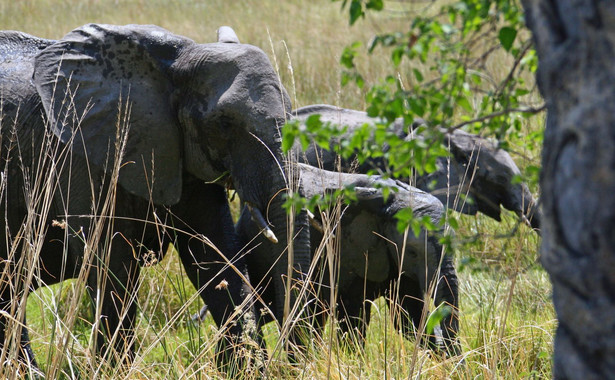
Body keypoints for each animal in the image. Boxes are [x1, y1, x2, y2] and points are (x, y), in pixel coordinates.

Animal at [0, 23, 310, 368]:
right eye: (225, 124)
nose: (295, 363)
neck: (174, 64)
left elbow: (215, 257)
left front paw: (245, 367)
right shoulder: (79, 154)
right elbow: (110, 267)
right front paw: (114, 371)